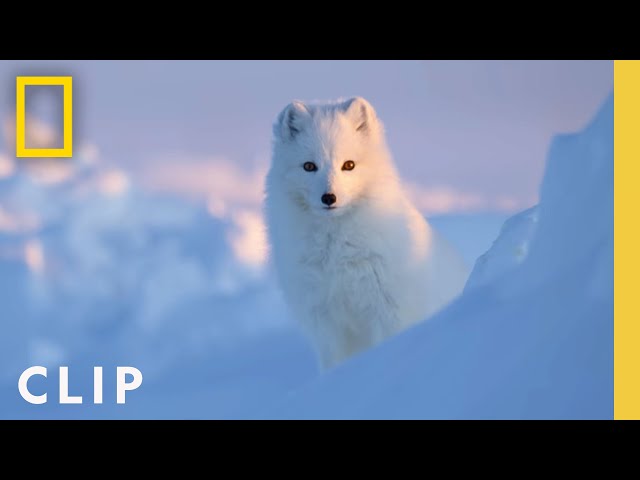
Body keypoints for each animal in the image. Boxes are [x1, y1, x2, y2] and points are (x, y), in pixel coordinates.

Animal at [265, 97, 468, 370]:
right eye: (309, 166)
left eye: (348, 165)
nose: (329, 198)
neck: (336, 251)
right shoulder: (323, 320)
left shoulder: (390, 310)